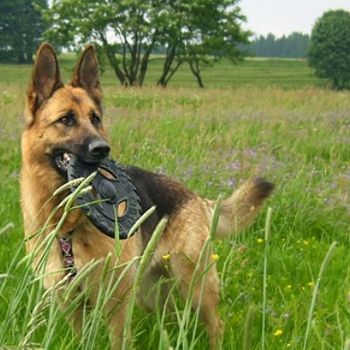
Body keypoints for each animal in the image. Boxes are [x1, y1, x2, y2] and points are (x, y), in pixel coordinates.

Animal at [21, 44, 274, 350]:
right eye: (66, 120)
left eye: (95, 119)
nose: (102, 150)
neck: (68, 221)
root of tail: (195, 197)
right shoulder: (71, 303)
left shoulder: (115, 302)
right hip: (150, 293)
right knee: (172, 318)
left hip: (195, 286)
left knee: (215, 325)